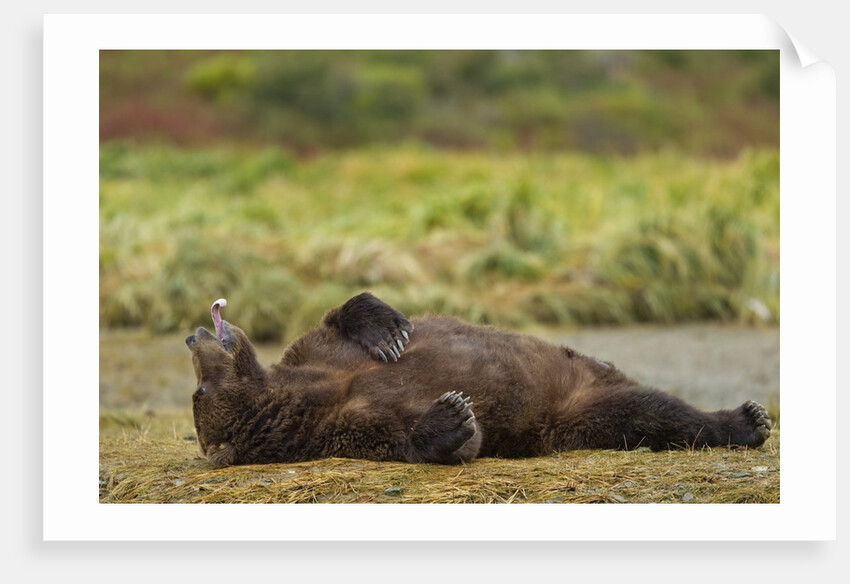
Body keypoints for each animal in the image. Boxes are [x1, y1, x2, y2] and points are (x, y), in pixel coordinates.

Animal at [185, 292, 772, 466]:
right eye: (200, 392)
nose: (191, 337)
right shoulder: (342, 427)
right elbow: (428, 438)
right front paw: (453, 415)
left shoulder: (319, 354)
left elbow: (340, 317)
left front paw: (389, 331)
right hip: (572, 414)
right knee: (646, 414)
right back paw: (748, 422)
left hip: (581, 373)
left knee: (660, 406)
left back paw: (749, 416)